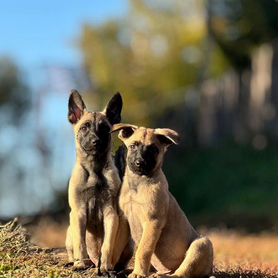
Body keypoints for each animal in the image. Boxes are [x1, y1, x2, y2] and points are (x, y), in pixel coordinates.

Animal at [65, 90, 130, 272]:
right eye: (84, 127)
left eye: (105, 129)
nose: (96, 141)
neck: (94, 169)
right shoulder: (78, 213)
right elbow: (80, 243)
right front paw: (81, 263)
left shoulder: (111, 214)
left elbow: (107, 245)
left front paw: (106, 266)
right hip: (69, 230)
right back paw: (75, 262)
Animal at [112, 124, 214, 278]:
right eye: (133, 146)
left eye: (154, 149)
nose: (140, 163)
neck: (138, 184)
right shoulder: (124, 220)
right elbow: (116, 247)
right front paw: (108, 268)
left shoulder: (152, 222)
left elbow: (143, 251)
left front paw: (138, 273)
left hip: (201, 244)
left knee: (182, 272)